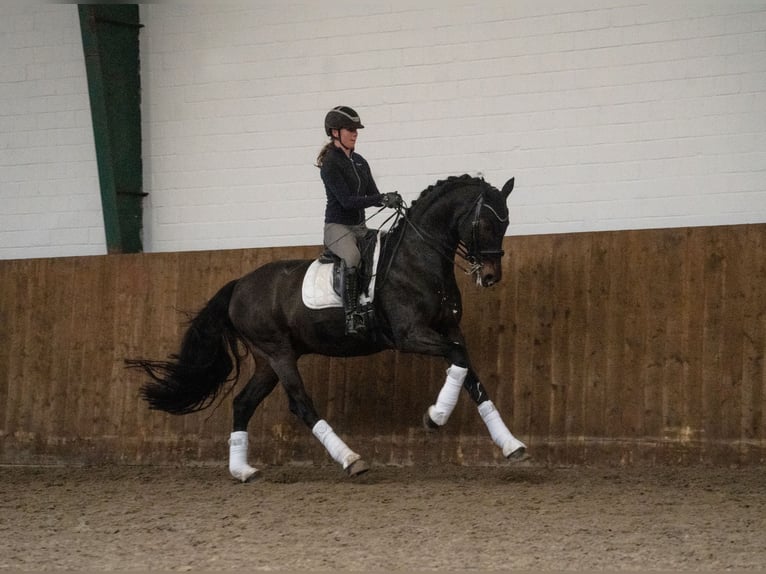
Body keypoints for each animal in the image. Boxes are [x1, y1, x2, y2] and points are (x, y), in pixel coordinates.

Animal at [129, 174, 532, 482]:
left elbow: (469, 373)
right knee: (301, 404)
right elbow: (459, 361)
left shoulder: (449, 329)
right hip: (278, 353)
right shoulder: (411, 335)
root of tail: (239, 284)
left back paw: (243, 471)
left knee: (243, 403)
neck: (418, 259)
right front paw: (435, 417)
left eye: (507, 222)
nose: (491, 276)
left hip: (267, 360)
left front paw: (512, 445)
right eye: (485, 223)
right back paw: (351, 460)